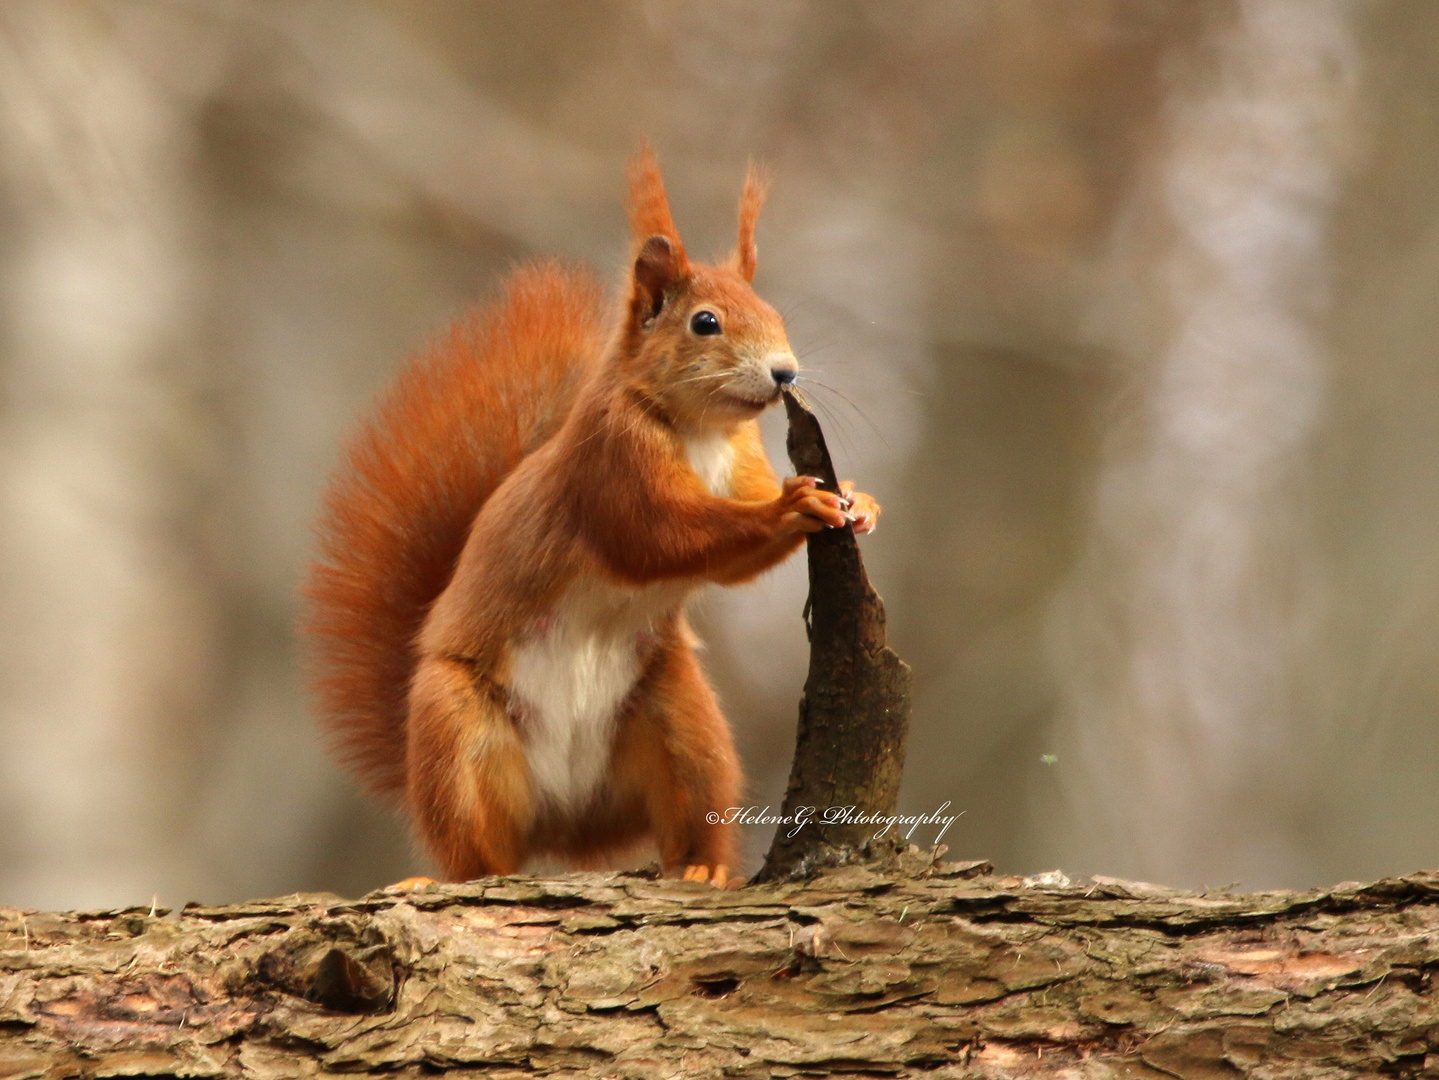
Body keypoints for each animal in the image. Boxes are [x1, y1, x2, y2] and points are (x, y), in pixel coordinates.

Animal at [306, 145, 874, 885]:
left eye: (773, 310)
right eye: (705, 322)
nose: (785, 374)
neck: (699, 430)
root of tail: (569, 823)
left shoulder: (740, 457)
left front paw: (858, 500)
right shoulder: (611, 467)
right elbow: (662, 538)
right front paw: (794, 503)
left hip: (681, 723)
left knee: (691, 808)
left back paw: (703, 868)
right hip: (455, 730)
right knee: (478, 851)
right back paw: (452, 876)